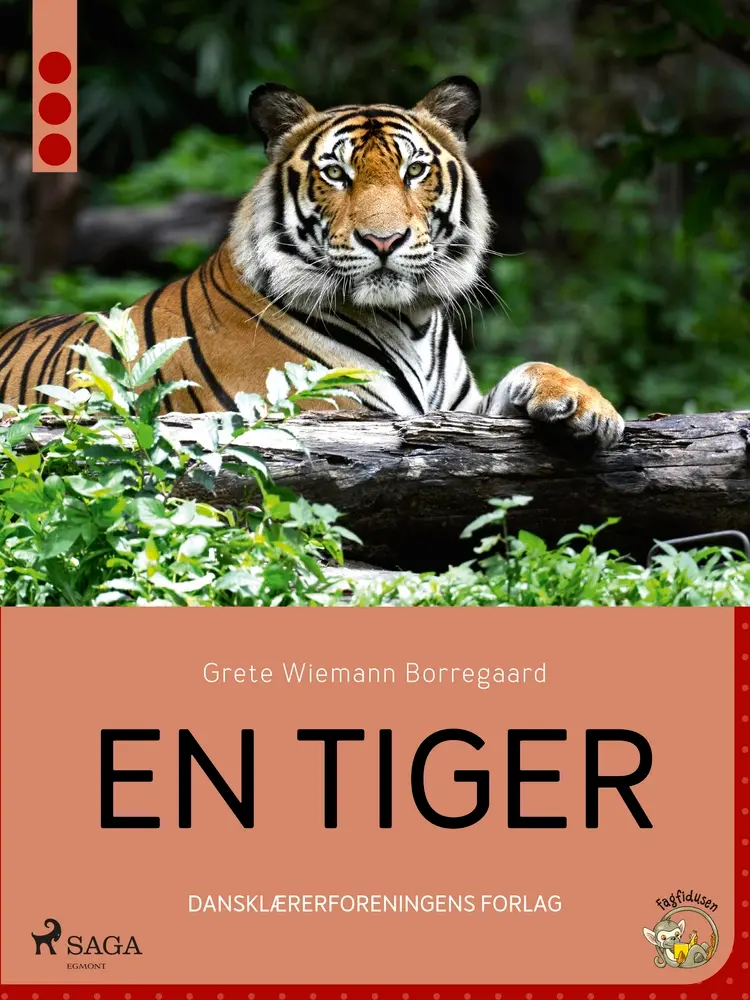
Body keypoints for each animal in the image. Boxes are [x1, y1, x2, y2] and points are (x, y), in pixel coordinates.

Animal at [0, 76, 624, 446]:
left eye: (414, 170)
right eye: (336, 173)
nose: (383, 240)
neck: (412, 321)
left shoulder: (457, 410)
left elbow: (530, 371)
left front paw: (587, 406)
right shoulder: (329, 411)